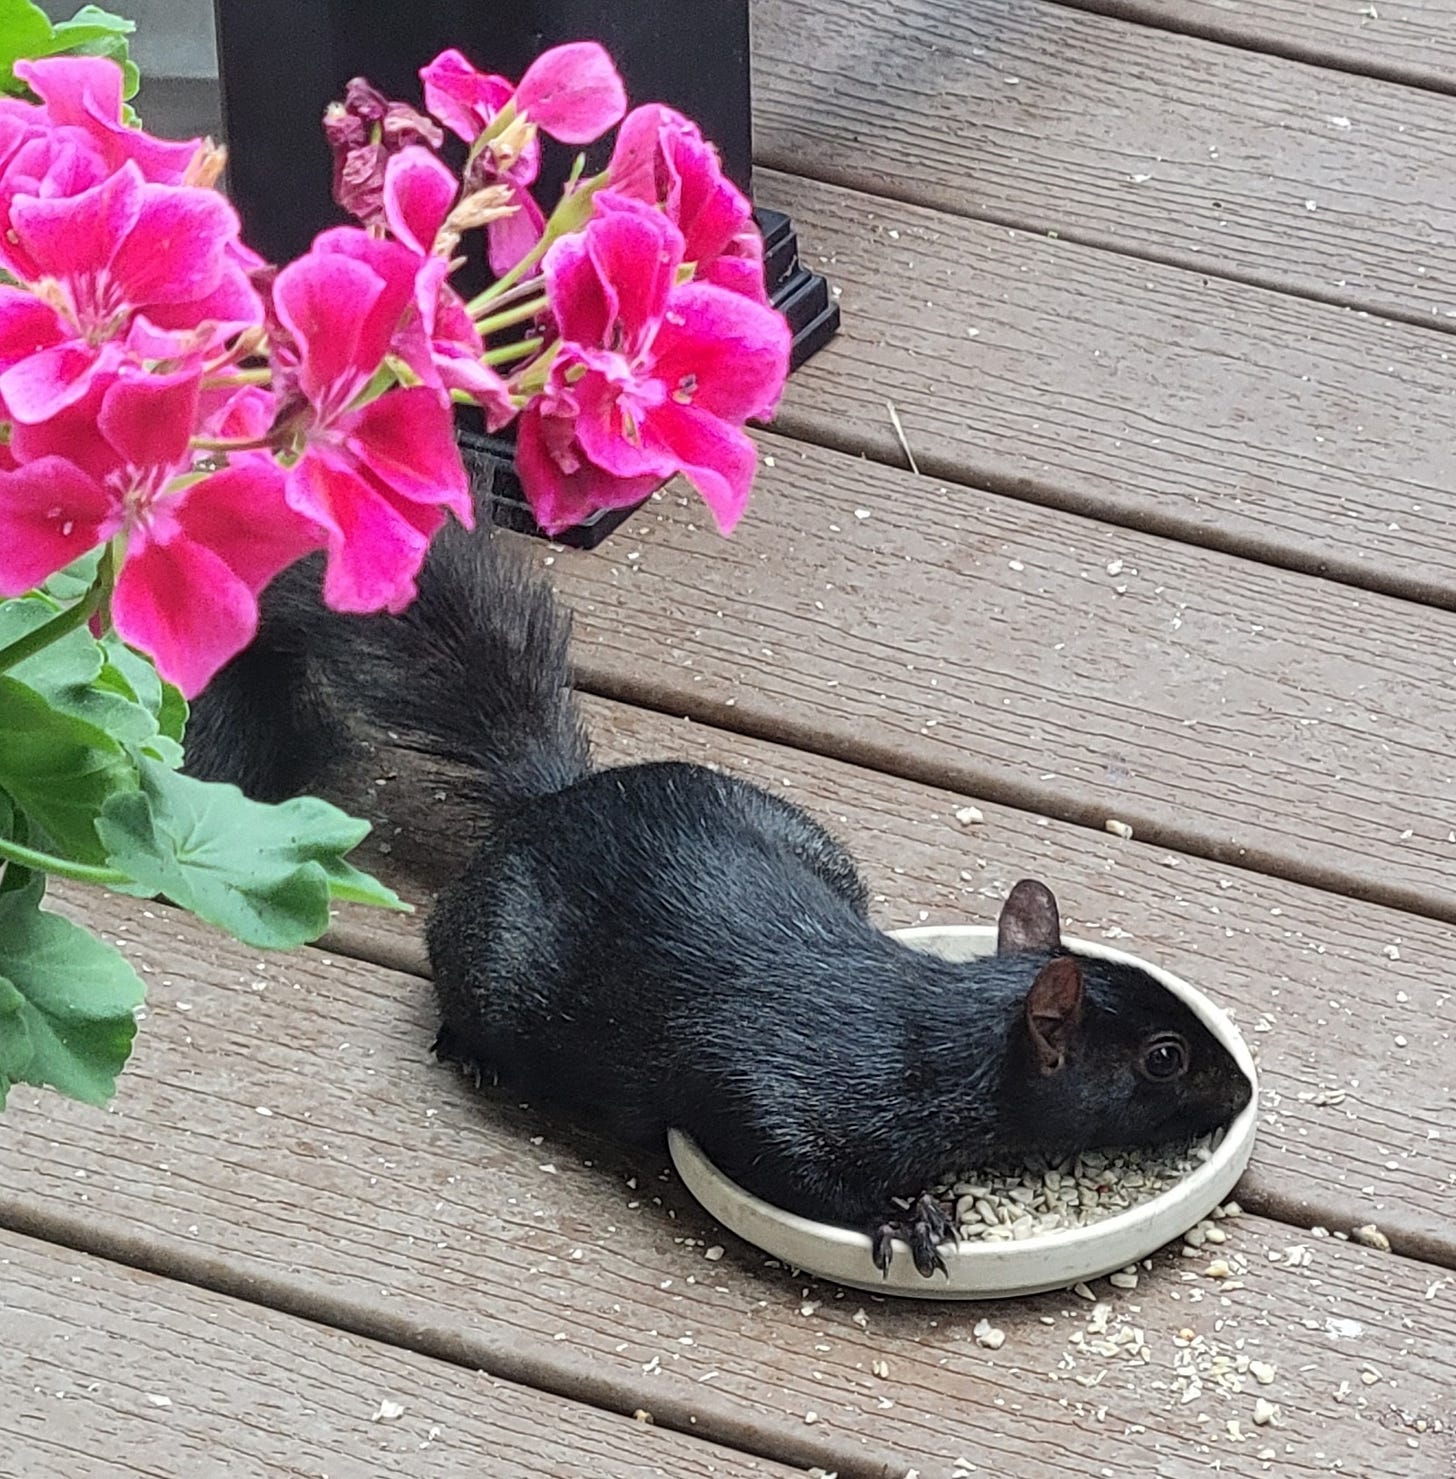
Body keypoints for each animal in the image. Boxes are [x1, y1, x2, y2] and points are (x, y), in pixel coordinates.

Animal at [186, 521, 1254, 1277]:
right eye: (1164, 1057)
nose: (1240, 1093)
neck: (931, 1038)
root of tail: (552, 797)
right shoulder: (769, 1089)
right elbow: (788, 1161)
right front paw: (902, 1214)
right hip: (491, 949)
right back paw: (472, 1047)